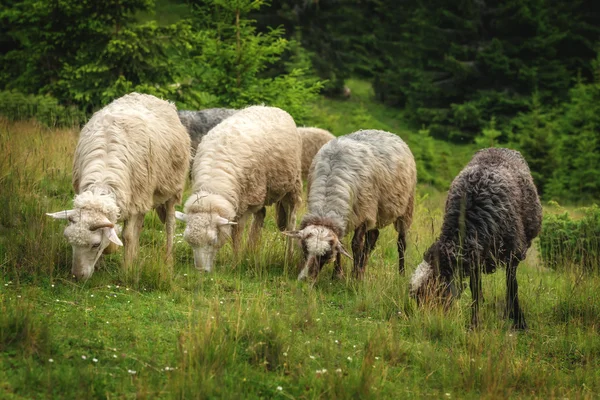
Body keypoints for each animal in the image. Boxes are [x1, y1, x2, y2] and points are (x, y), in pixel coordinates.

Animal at [48, 93, 191, 282]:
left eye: (95, 244)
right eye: (68, 239)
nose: (77, 276)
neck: (103, 179)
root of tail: (149, 96)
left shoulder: (134, 200)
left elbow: (127, 236)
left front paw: (127, 267)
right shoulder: (134, 200)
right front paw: (105, 262)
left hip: (171, 190)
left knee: (170, 225)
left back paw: (168, 260)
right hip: (145, 196)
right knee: (140, 225)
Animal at [176, 104, 302, 272]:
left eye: (212, 240)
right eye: (189, 242)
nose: (201, 271)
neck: (214, 186)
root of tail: (268, 106)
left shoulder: (245, 204)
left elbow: (236, 233)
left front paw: (236, 262)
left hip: (291, 185)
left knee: (291, 219)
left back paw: (289, 255)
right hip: (261, 192)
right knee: (260, 215)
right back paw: (251, 250)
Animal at [282, 130, 414, 280]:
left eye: (325, 255)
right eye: (305, 249)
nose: (305, 279)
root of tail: (388, 132)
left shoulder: (363, 215)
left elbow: (356, 244)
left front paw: (354, 277)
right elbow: (342, 244)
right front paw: (338, 274)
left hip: (406, 208)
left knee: (401, 243)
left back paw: (401, 273)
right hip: (376, 212)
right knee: (373, 237)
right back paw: (363, 268)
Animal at [408, 148, 544, 330]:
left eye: (436, 291)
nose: (427, 323)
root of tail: (498, 148)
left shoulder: (512, 254)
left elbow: (512, 286)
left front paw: (519, 322)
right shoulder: (474, 259)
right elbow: (475, 291)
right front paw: (474, 324)